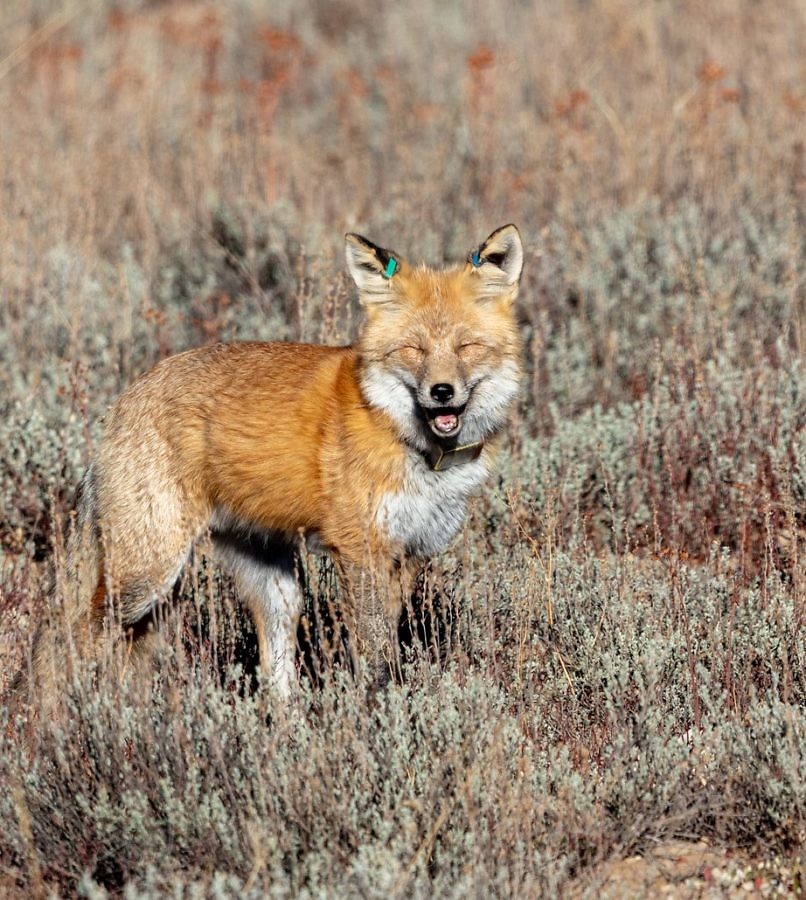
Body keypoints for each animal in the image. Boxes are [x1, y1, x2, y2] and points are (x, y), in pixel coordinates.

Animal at [23, 225, 524, 704]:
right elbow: (377, 660)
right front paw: (380, 716)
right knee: (61, 640)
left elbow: (388, 650)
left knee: (271, 675)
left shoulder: (410, 555)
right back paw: (46, 721)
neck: (408, 441)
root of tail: (120, 403)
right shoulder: (360, 552)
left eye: (466, 346)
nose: (442, 392)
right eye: (413, 350)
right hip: (146, 577)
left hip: (270, 589)